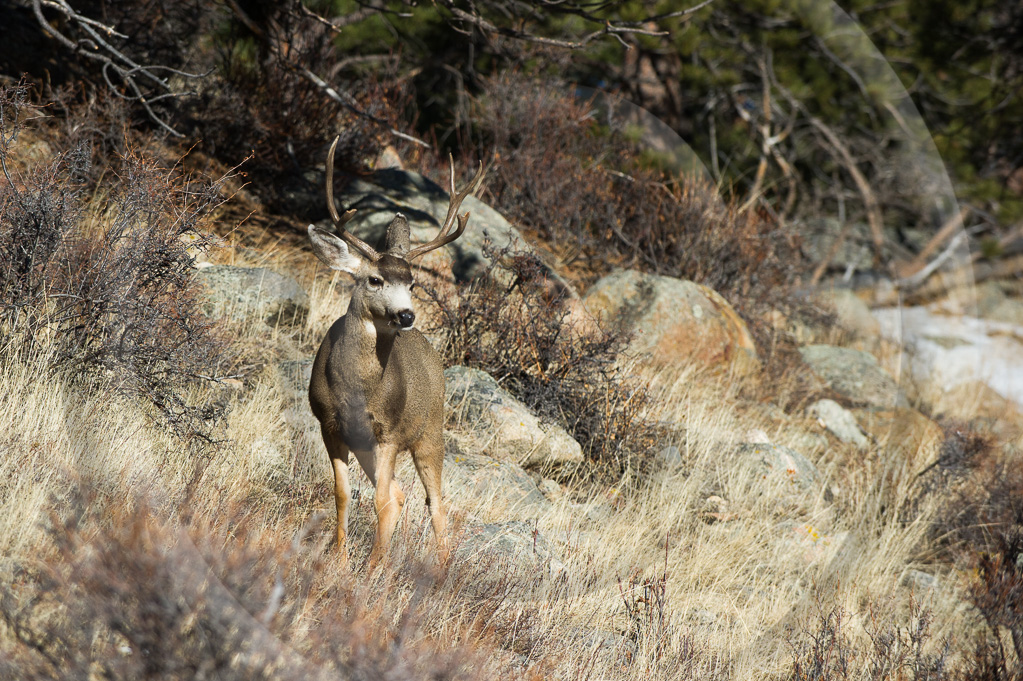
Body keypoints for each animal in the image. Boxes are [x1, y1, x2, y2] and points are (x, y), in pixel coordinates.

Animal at [304, 134, 484, 564]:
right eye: (374, 279)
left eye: (413, 283)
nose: (406, 315)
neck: (356, 390)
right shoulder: (330, 425)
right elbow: (343, 494)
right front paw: (339, 558)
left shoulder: (387, 432)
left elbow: (381, 502)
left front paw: (372, 568)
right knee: (402, 494)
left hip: (430, 430)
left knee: (433, 502)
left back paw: (439, 567)